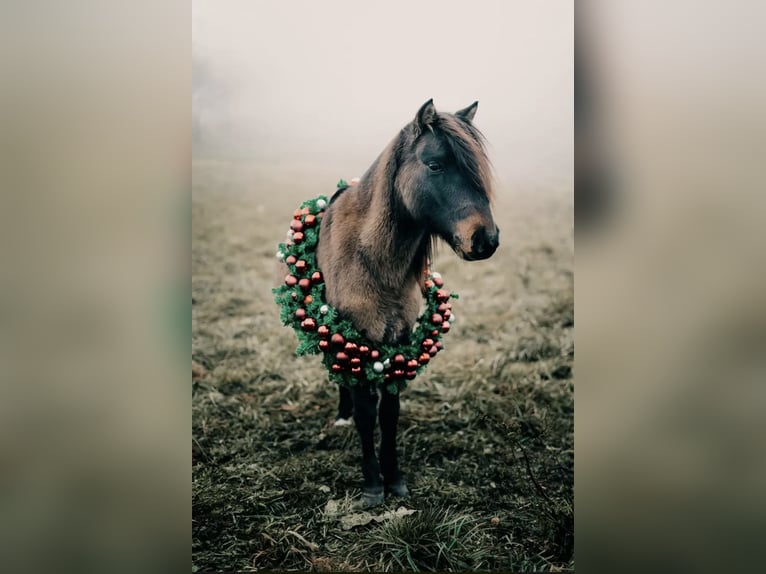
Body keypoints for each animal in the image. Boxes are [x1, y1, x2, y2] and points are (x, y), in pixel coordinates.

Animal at [316, 99, 500, 508]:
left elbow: (389, 413)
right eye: (435, 165)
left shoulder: (398, 341)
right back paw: (341, 415)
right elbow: (367, 414)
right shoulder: (358, 339)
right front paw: (372, 485)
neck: (372, 258)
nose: (486, 239)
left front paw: (395, 480)